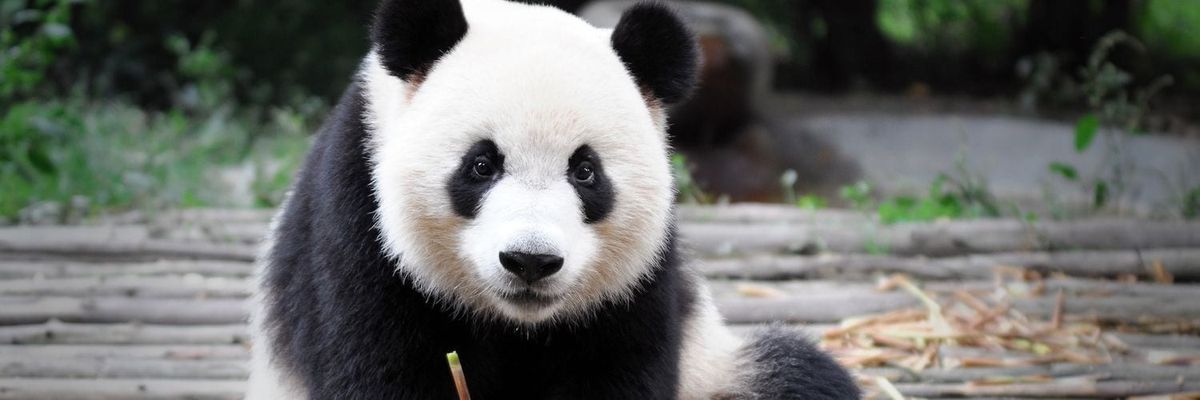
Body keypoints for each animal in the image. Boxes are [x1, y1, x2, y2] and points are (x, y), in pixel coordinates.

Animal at [247, 0, 860, 398]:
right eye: (481, 165)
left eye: (585, 172)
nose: (530, 261)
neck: (517, 322)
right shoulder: (358, 224)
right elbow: (383, 369)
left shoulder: (635, 284)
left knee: (800, 377)